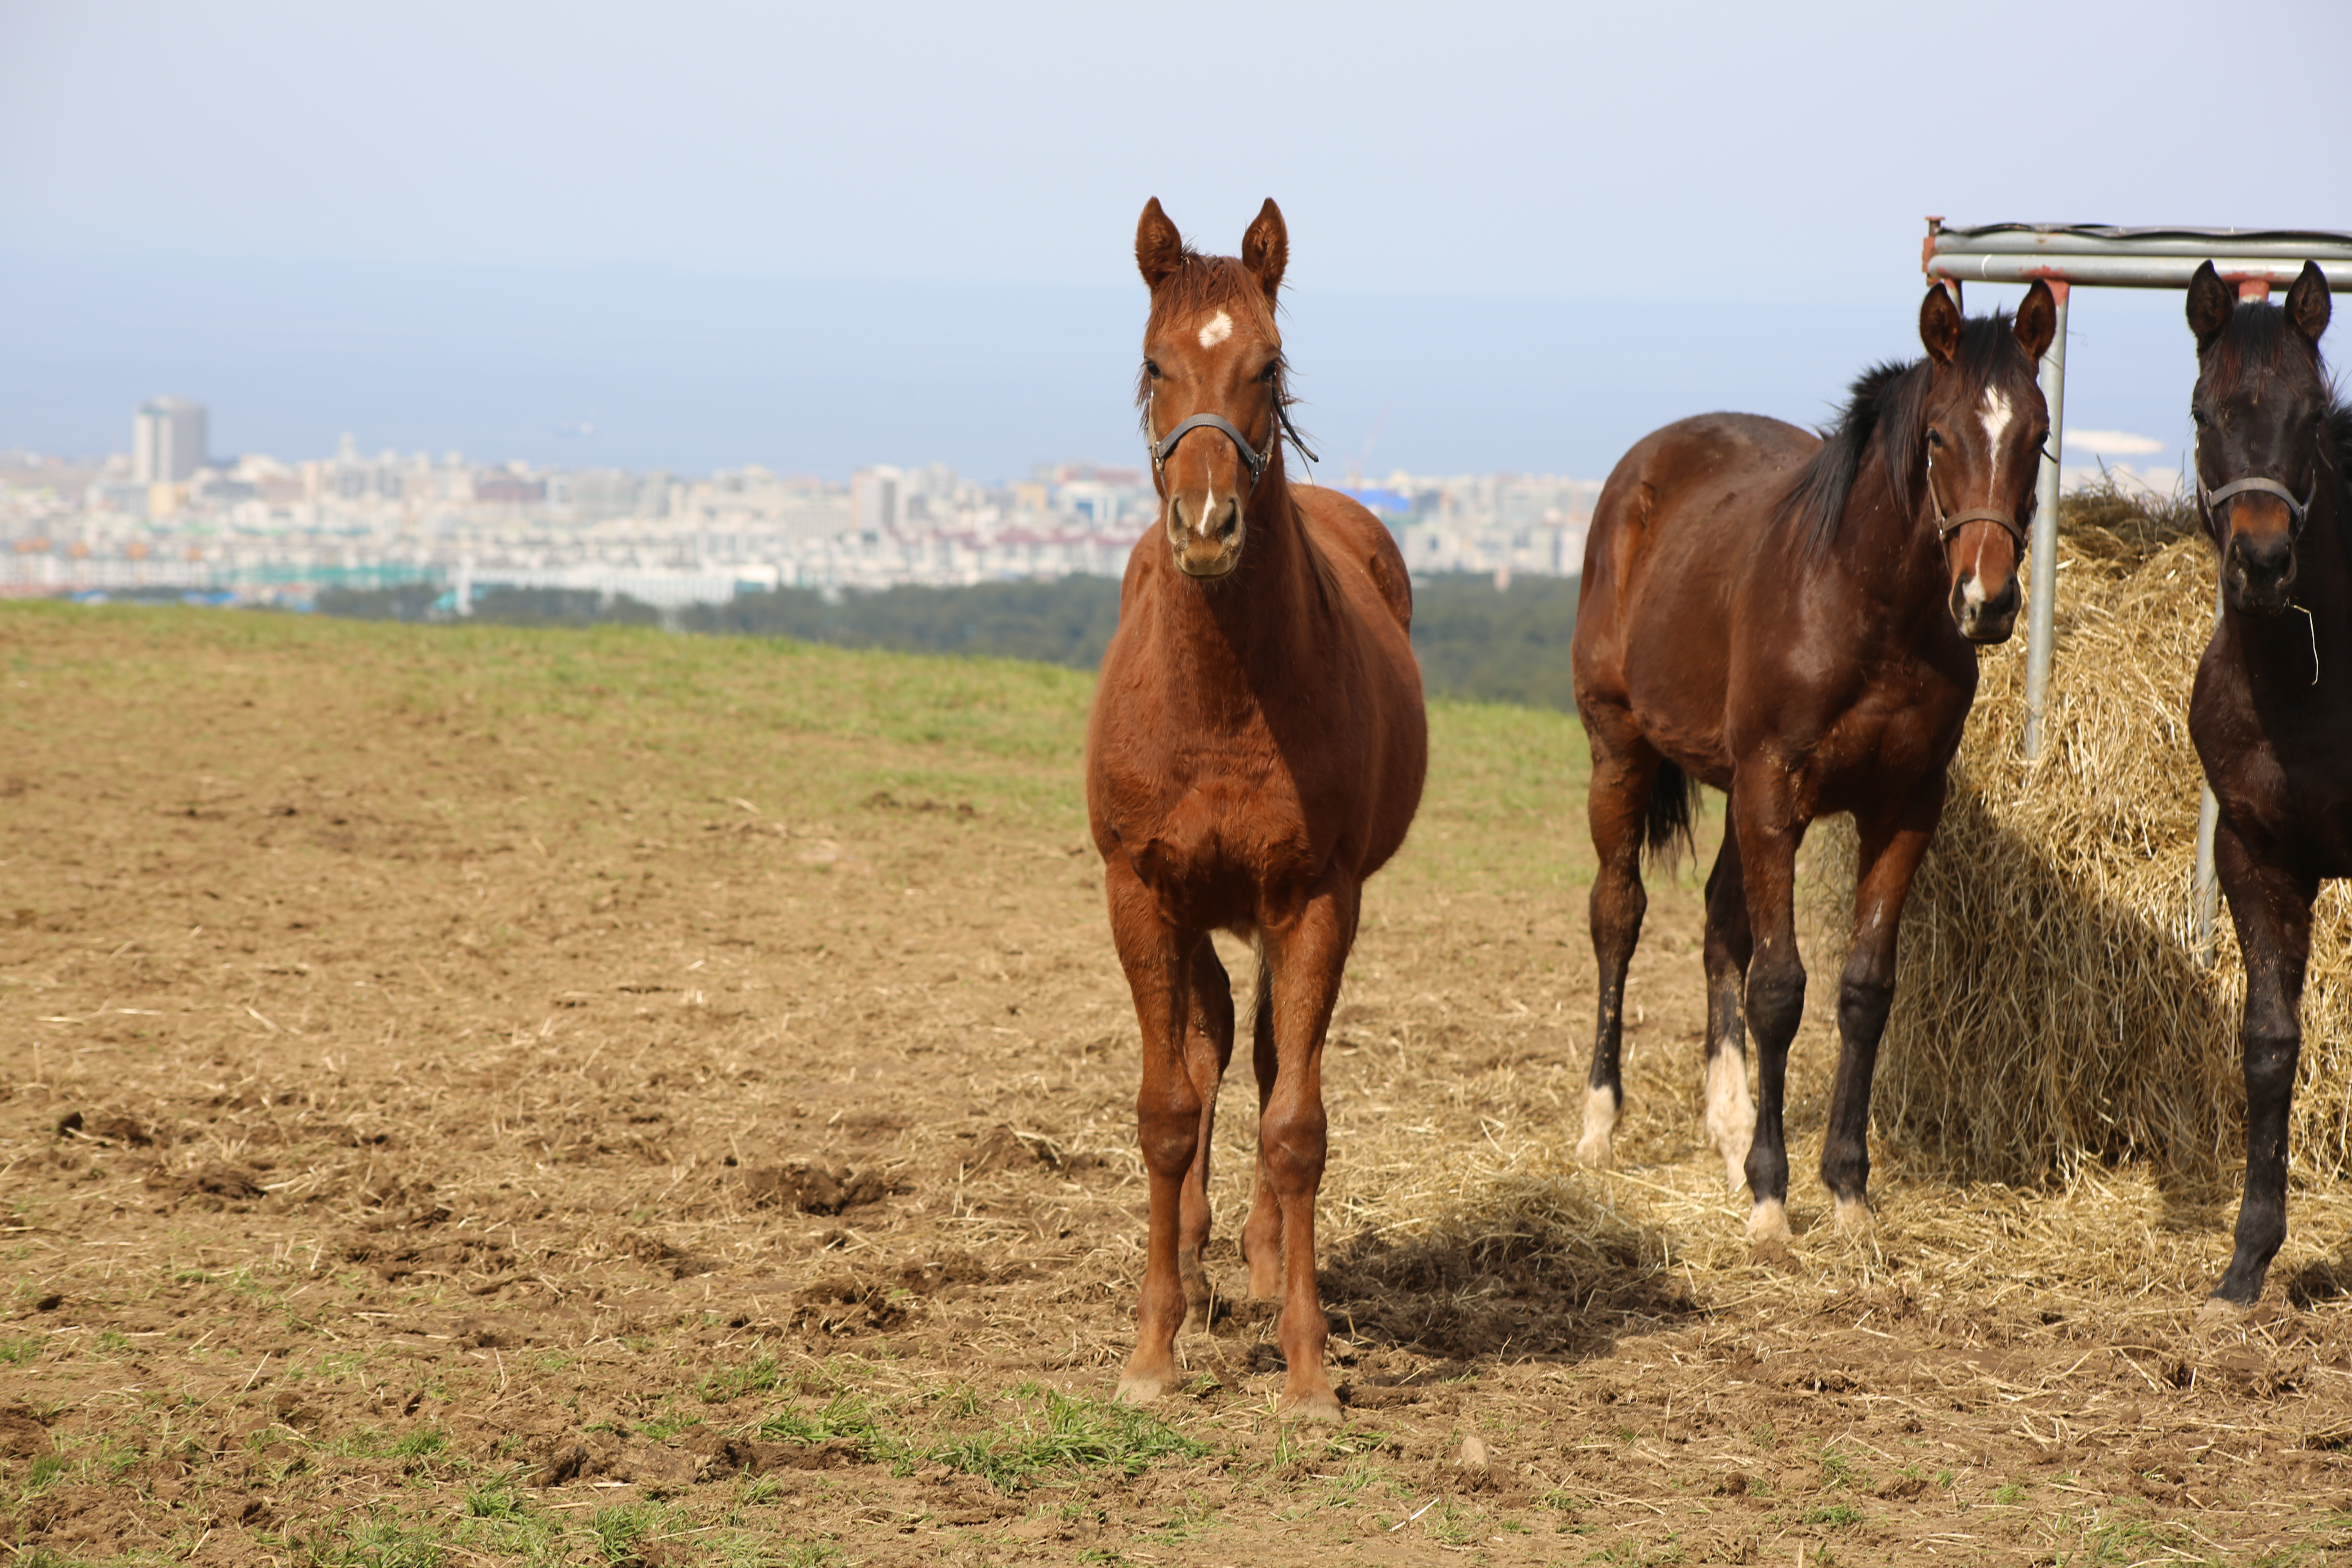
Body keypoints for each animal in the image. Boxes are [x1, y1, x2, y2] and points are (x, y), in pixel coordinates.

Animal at [1077, 200, 1421, 1420]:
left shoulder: (1315, 900)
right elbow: (1166, 1109)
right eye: (1153, 362)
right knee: (1205, 1049)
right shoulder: (1140, 893)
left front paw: (1308, 1365)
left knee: (1265, 1058)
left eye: (1266, 365)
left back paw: (1264, 1263)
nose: (1207, 524)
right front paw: (1151, 1351)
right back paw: (1194, 1254)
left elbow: (1295, 1123)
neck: (1224, 698)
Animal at [1580, 276, 2060, 1241]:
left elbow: (1863, 990)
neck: (1869, 608)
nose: (1987, 602)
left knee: (1719, 925)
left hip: (1733, 791)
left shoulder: (1902, 808)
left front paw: (1846, 1186)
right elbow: (1779, 988)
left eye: (2037, 433)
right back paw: (1601, 1122)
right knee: (1619, 914)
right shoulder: (1776, 792)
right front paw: (1772, 1195)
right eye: (1938, 435)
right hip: (1620, 752)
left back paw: (1728, 1125)